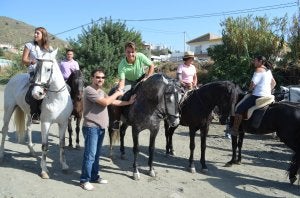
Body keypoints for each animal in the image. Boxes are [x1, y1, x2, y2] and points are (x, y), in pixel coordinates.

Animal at [0, 48, 72, 179]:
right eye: (36, 69)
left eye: (48, 69)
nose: (36, 93)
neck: (57, 98)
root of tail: (14, 78)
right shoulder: (46, 123)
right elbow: (45, 145)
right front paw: (44, 170)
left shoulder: (63, 123)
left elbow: (62, 143)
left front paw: (64, 165)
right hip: (9, 109)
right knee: (4, 130)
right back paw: (2, 155)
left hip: (29, 115)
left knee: (28, 128)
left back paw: (32, 151)